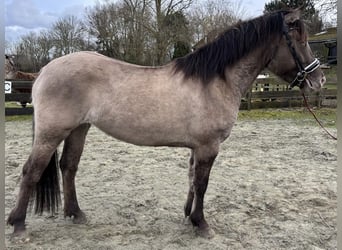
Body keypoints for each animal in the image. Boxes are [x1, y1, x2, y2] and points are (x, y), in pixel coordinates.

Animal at [6, 8, 324, 237]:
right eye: (301, 40)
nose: (318, 79)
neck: (215, 81)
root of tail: (45, 70)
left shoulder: (198, 148)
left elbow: (192, 180)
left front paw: (188, 216)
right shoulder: (209, 147)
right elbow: (202, 184)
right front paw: (201, 224)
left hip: (78, 129)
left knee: (68, 167)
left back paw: (76, 214)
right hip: (52, 132)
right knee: (31, 171)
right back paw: (18, 223)